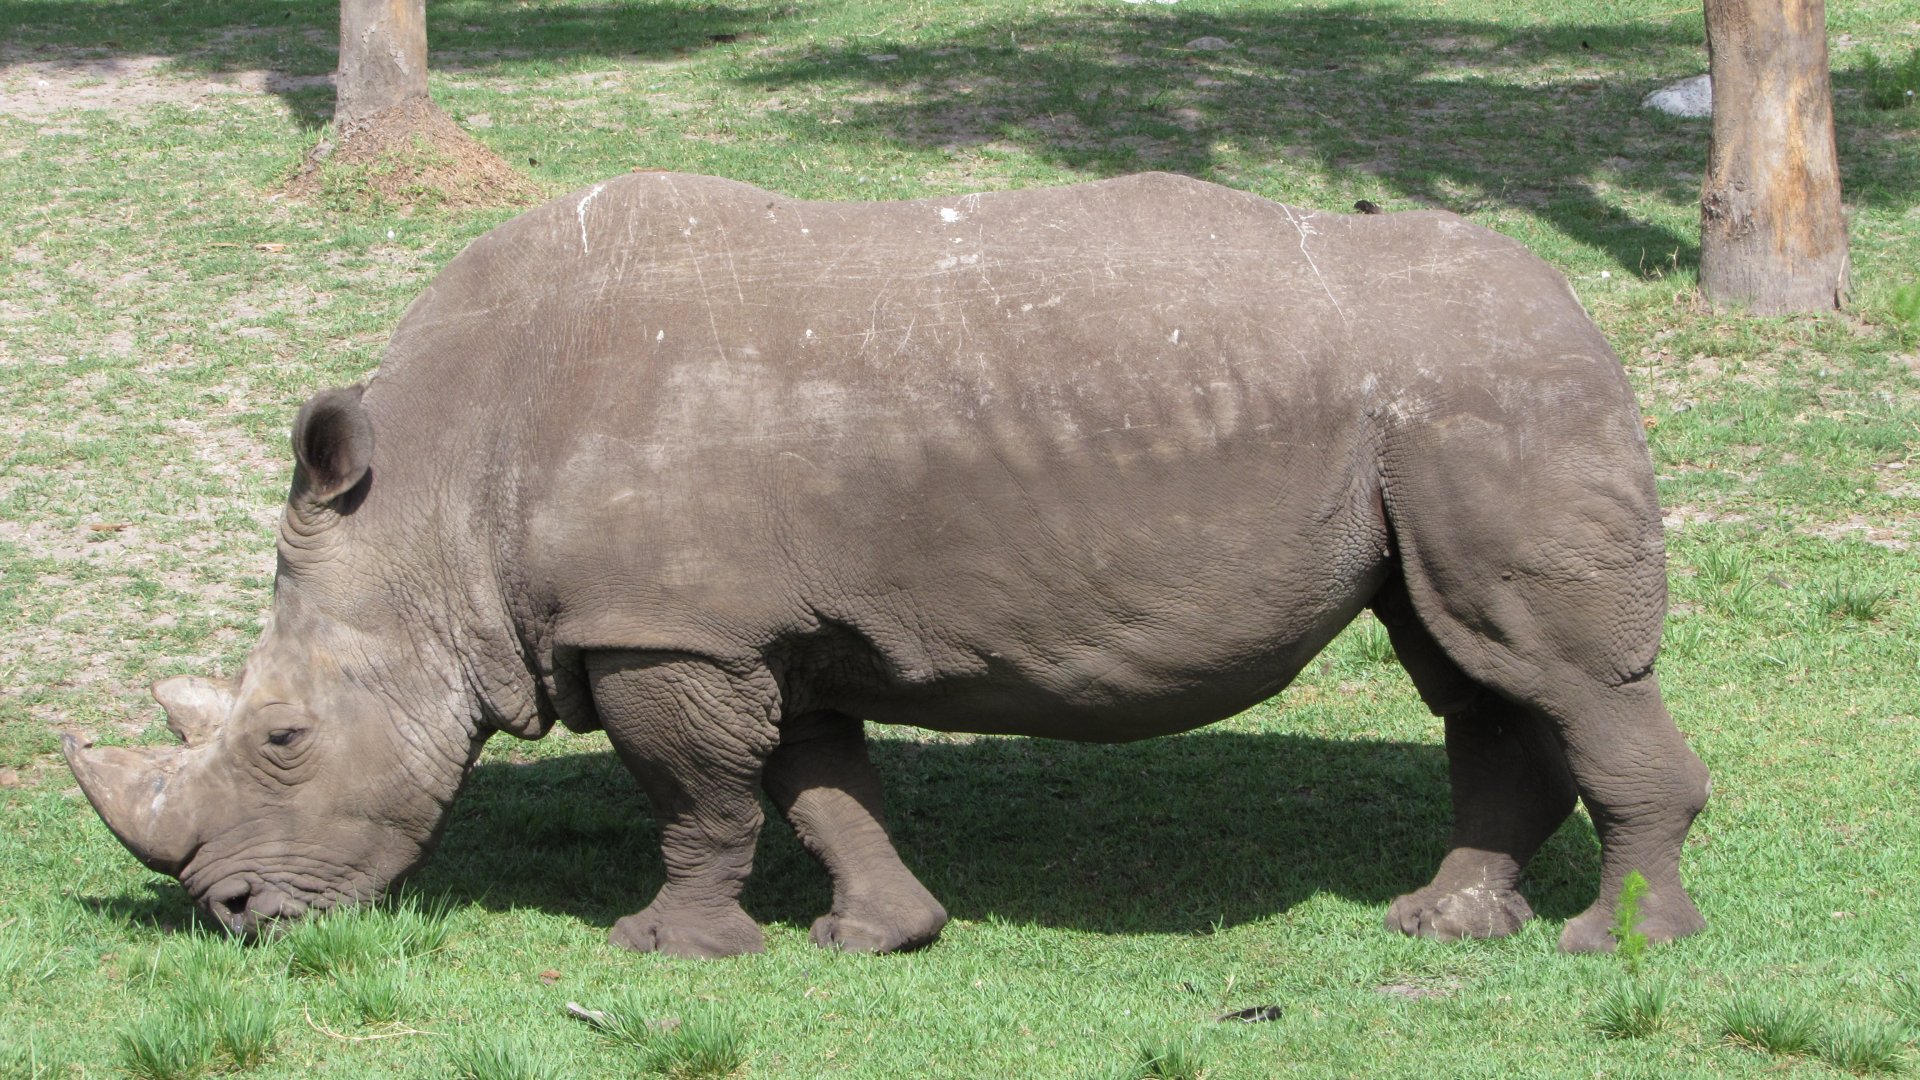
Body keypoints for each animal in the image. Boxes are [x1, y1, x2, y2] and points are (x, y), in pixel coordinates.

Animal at [65, 172, 1710, 956]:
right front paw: (878, 935)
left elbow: (702, 798)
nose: (234, 915)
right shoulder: (755, 626)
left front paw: (666, 949)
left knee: (1560, 672)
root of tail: (1584, 311)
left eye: (283, 740)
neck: (435, 497)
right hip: (1438, 420)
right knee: (1474, 671)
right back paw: (1447, 924)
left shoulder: (668, 627)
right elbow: (816, 784)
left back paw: (1615, 948)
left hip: (1496, 393)